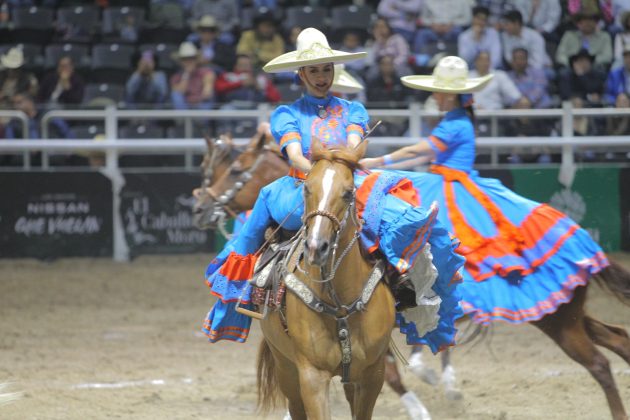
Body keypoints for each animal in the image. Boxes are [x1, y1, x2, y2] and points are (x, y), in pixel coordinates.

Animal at [256, 139, 396, 420]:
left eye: (348, 192)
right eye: (307, 188)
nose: (315, 247)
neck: (341, 302)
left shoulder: (372, 374)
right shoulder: (312, 376)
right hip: (285, 368)